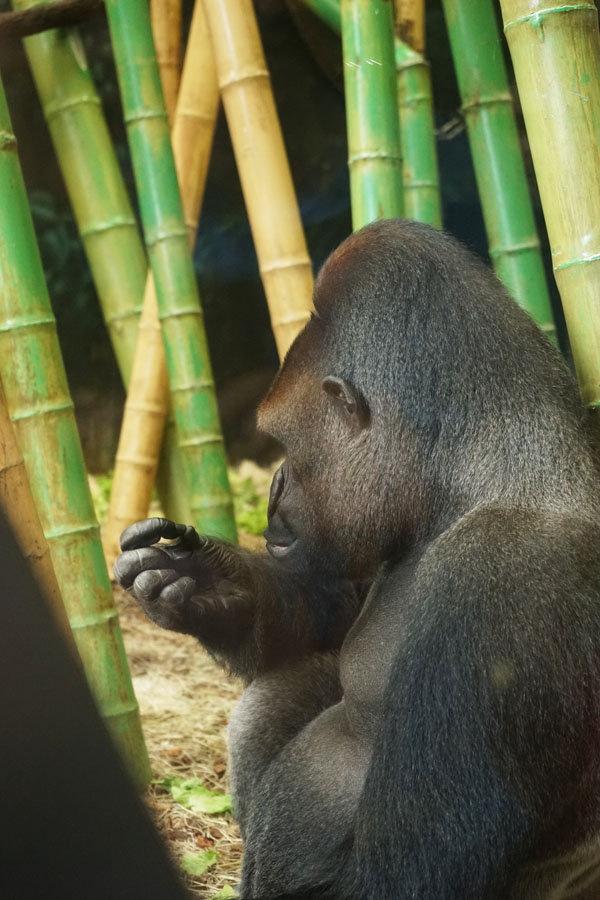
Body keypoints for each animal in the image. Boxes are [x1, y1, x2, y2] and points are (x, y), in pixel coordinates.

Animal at [115, 218, 600, 899]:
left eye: (282, 441)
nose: (273, 488)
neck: (476, 479)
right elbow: (329, 607)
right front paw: (209, 585)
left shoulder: (506, 572)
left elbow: (409, 869)